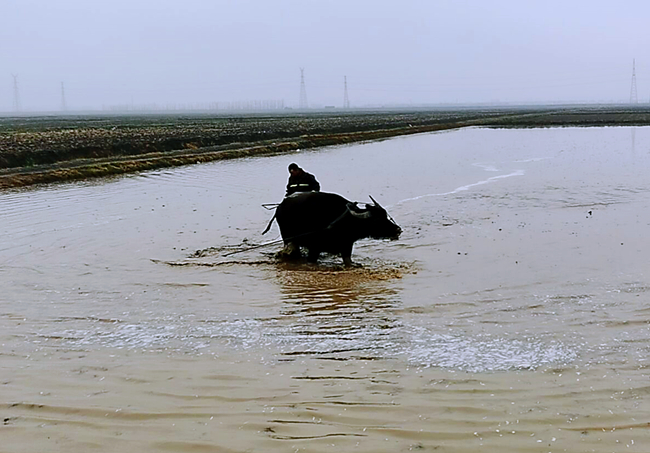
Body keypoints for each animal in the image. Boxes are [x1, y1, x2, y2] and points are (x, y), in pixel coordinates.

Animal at [263, 191, 401, 266]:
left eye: (385, 215)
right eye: (377, 220)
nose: (398, 230)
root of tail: (279, 207)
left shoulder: (346, 244)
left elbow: (348, 260)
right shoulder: (315, 247)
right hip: (289, 239)